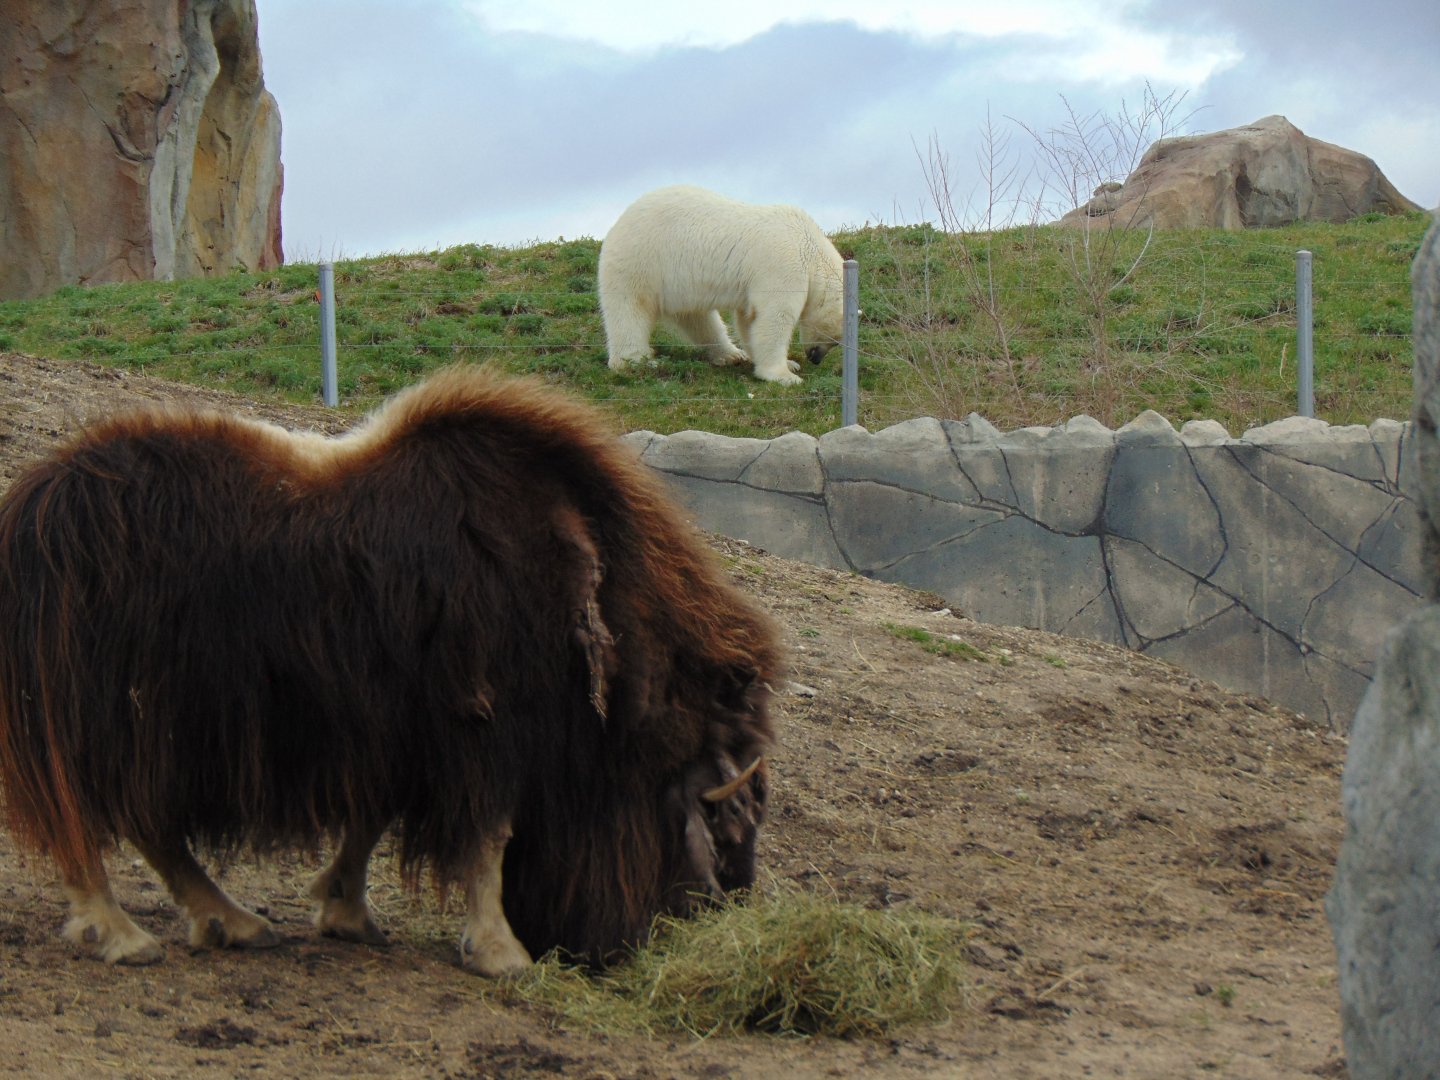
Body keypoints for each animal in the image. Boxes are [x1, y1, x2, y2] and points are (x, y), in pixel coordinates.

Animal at [598, 185, 845, 386]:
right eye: (835, 340)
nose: (816, 359)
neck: (810, 246)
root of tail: (618, 223)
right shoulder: (783, 264)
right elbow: (774, 316)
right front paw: (785, 375)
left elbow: (749, 319)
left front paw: (788, 363)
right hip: (641, 262)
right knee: (630, 311)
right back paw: (635, 360)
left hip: (680, 285)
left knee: (697, 319)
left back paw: (730, 354)